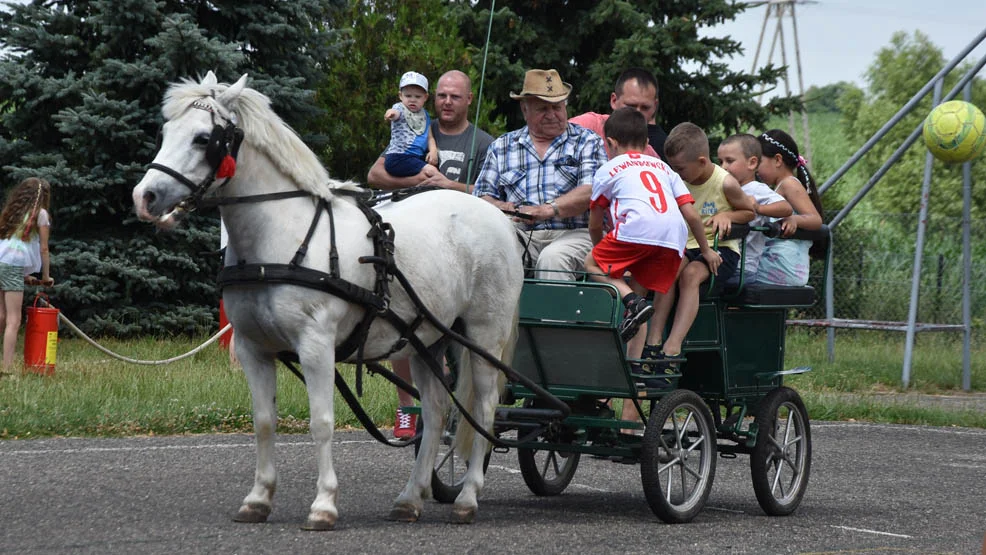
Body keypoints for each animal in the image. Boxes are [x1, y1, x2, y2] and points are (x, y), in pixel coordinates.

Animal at [135, 73, 528, 528]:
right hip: (426, 339)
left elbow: (321, 423)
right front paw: (258, 498)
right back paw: (410, 498)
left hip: (483, 336)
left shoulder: (315, 344)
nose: (144, 197)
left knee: (482, 410)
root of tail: (498, 217)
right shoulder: (252, 348)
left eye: (203, 138)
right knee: (434, 411)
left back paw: (467, 497)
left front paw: (323, 504)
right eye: (165, 132)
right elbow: (263, 423)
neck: (280, 237)